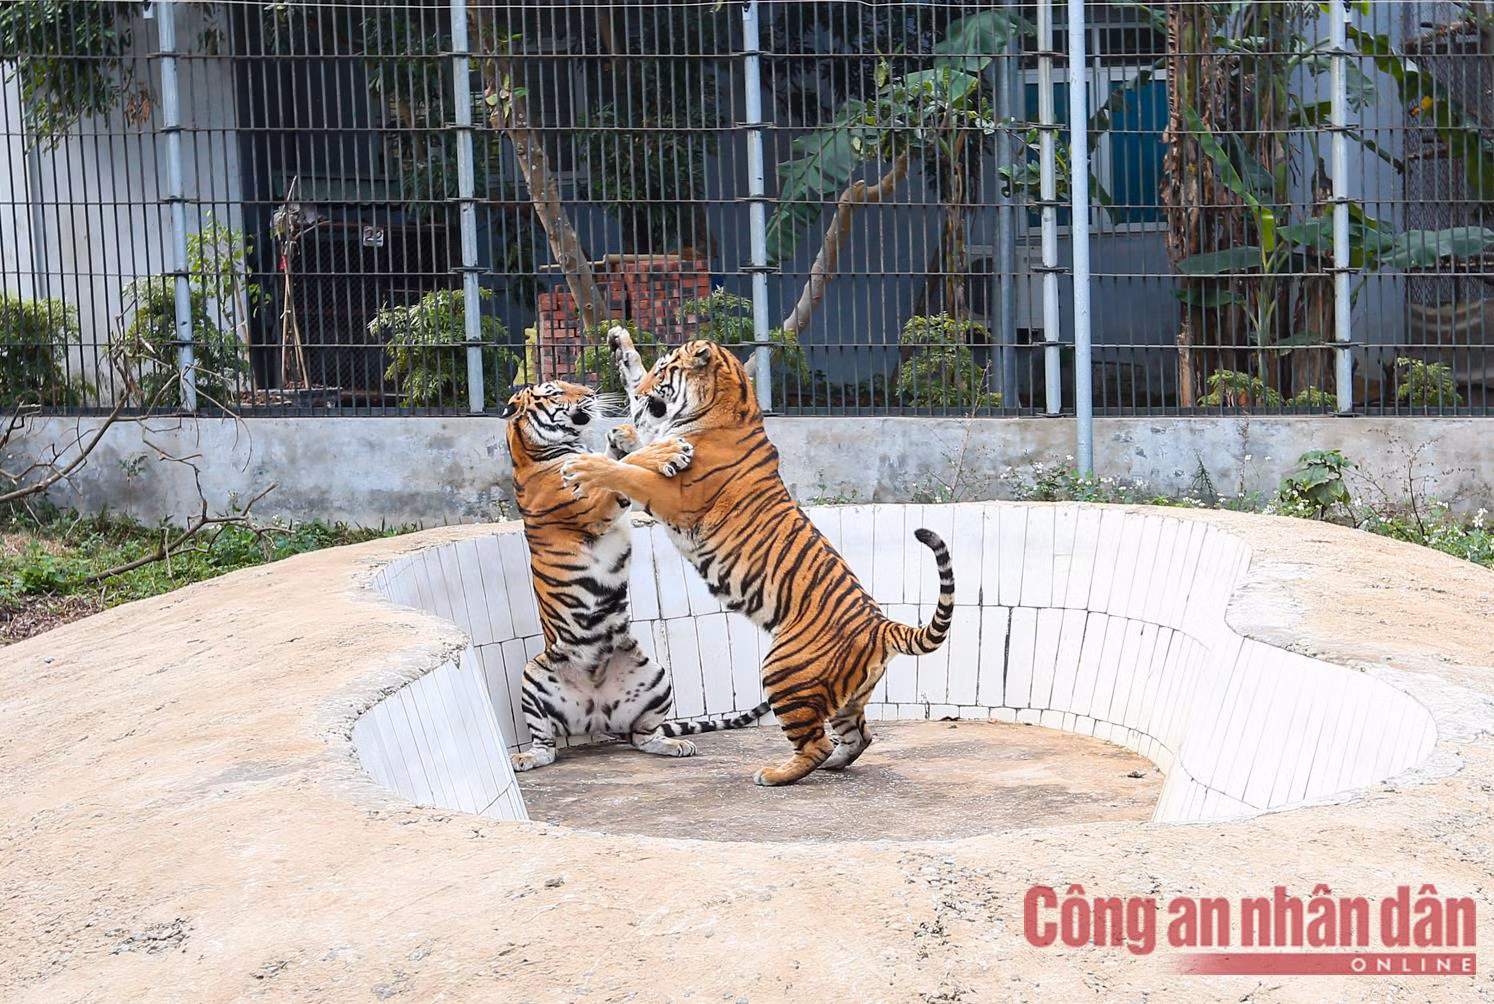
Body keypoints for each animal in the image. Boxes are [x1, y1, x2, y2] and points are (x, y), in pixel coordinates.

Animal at [501, 379, 769, 772]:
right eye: (554, 392)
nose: (589, 392)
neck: (540, 452)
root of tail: (595, 716)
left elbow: (614, 460)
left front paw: (622, 435)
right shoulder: (592, 503)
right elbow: (622, 468)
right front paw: (668, 449)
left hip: (655, 676)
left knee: (644, 736)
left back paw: (674, 745)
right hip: (533, 676)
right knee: (545, 744)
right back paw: (526, 758)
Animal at [560, 330, 955, 786]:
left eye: (664, 371)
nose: (642, 395)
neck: (725, 404)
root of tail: (880, 626)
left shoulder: (674, 496)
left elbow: (627, 471)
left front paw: (587, 464)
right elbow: (638, 429)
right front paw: (621, 354)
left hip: (785, 670)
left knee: (814, 744)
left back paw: (775, 774)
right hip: (847, 698)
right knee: (858, 737)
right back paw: (836, 763)